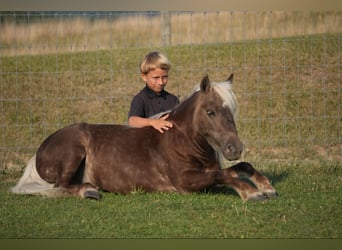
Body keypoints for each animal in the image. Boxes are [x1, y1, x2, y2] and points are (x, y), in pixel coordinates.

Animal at [11, 73, 278, 201]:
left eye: (232, 110)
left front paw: (266, 186)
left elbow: (240, 167)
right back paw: (88, 191)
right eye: (210, 111)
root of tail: (41, 149)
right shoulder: (185, 182)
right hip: (74, 150)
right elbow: (223, 175)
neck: (180, 141)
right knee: (60, 186)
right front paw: (253, 193)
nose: (235, 148)